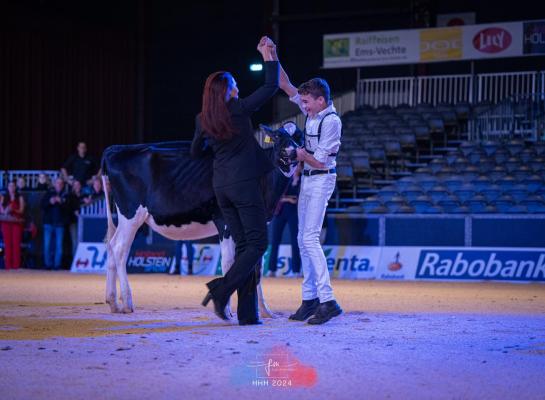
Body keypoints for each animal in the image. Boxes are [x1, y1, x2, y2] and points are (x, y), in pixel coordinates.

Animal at [101, 123, 302, 318]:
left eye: (299, 137)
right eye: (277, 136)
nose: (290, 152)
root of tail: (116, 149)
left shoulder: (259, 222)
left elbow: (255, 265)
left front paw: (265, 311)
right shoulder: (224, 220)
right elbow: (229, 263)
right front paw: (226, 309)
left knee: (111, 245)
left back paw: (113, 302)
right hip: (131, 215)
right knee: (119, 248)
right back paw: (127, 302)